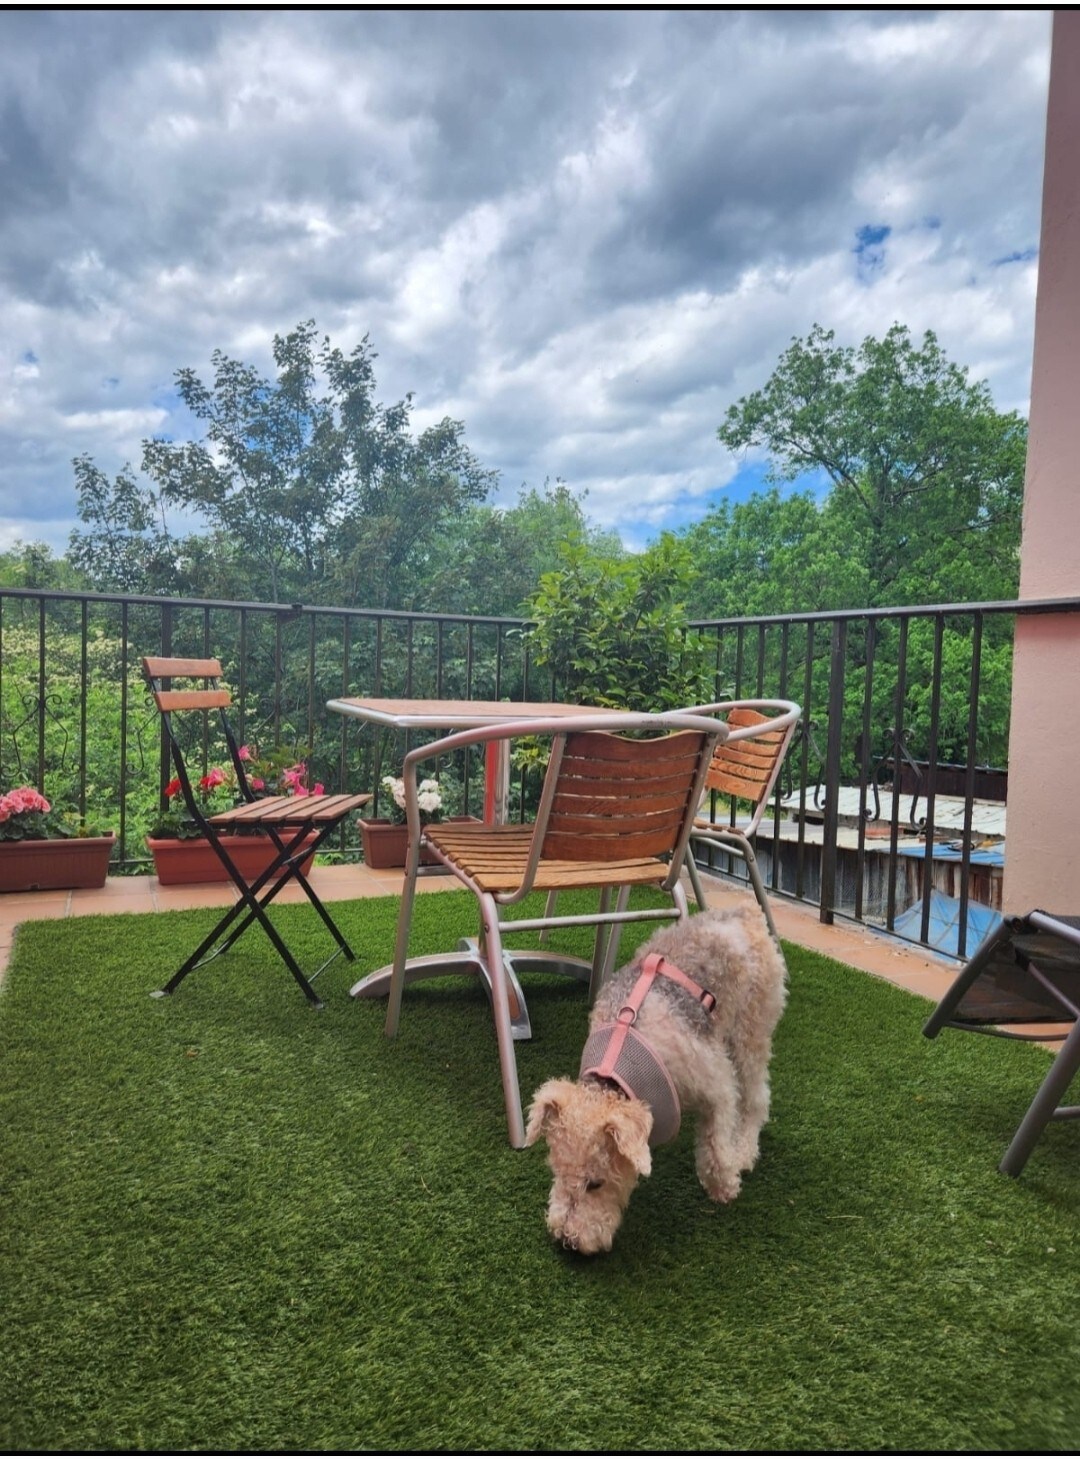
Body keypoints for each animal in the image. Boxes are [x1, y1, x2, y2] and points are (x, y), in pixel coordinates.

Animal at [522, 898, 782, 1254]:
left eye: (596, 1183)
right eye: (558, 1171)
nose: (567, 1241)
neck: (616, 1069)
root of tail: (745, 909)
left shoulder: (717, 1087)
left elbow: (715, 1147)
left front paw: (723, 1186)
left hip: (750, 1033)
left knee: (757, 1099)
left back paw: (744, 1151)